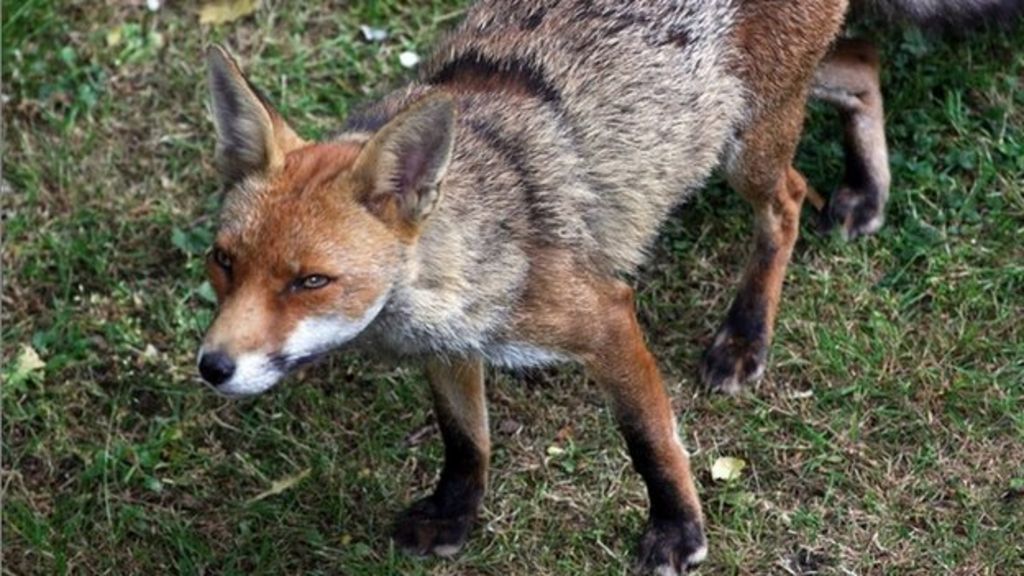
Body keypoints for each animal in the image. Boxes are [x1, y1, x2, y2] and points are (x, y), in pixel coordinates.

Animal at [195, 0, 1019, 569]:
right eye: (223, 261)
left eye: (310, 280)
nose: (212, 367)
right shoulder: (453, 342)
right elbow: (465, 441)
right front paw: (456, 516)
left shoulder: (602, 318)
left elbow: (650, 441)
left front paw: (678, 532)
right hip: (766, 105)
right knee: (865, 62)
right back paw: (868, 189)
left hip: (747, 146)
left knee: (788, 199)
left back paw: (747, 331)